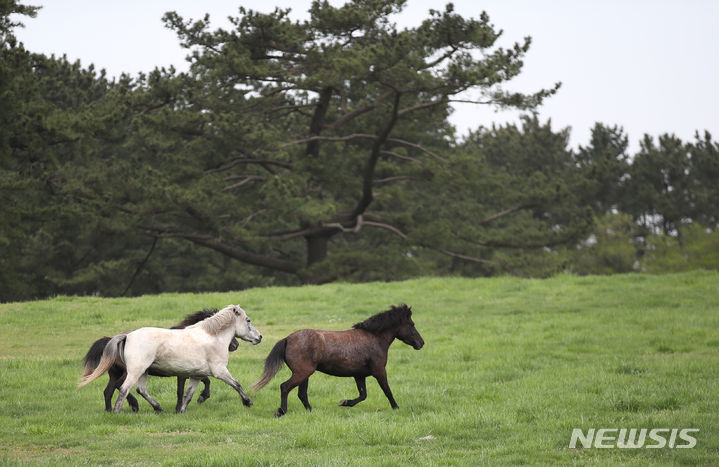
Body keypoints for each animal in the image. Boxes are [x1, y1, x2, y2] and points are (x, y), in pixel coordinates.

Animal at [78, 306, 262, 414]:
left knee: (140, 390)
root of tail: (127, 336)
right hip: (135, 371)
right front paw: (248, 402)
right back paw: (117, 411)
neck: (212, 337)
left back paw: (157, 408)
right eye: (248, 320)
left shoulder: (196, 375)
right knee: (124, 389)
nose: (259, 337)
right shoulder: (220, 371)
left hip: (143, 372)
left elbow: (189, 394)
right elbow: (237, 384)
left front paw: (182, 410)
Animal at [252, 306, 424, 418]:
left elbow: (363, 395)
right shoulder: (379, 371)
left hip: (304, 374)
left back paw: (311, 411)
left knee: (301, 393)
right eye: (412, 325)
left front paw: (345, 402)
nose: (421, 343)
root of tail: (287, 339)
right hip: (302, 373)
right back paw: (281, 411)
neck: (374, 338)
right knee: (285, 387)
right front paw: (396, 408)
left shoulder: (359, 375)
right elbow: (387, 391)